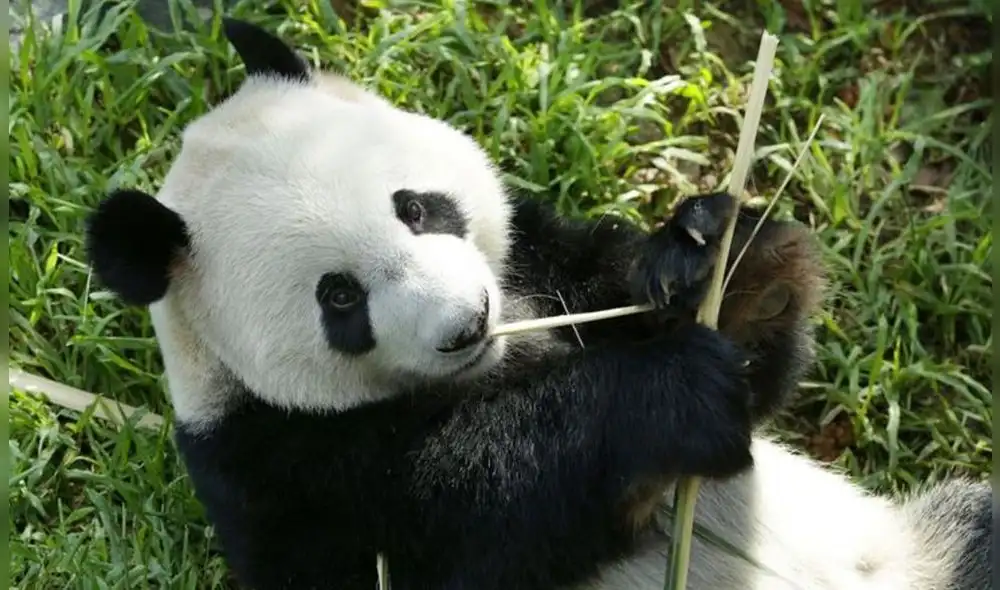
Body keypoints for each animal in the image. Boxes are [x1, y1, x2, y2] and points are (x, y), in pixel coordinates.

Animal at [85, 18, 991, 590]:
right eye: (338, 298)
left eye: (417, 208)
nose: (466, 322)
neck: (506, 351)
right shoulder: (269, 463)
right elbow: (462, 530)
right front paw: (668, 398)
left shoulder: (542, 261)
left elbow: (730, 352)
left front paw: (721, 266)